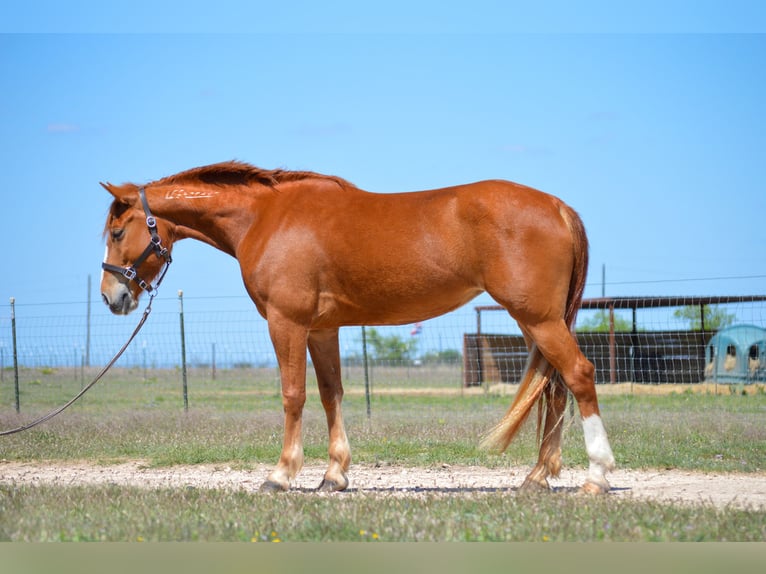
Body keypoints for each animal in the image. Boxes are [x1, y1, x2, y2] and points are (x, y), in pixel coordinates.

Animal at [100, 161, 615, 494]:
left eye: (118, 232)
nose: (112, 297)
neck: (266, 218)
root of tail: (557, 206)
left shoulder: (287, 322)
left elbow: (293, 395)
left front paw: (281, 475)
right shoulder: (322, 330)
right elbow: (332, 395)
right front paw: (334, 476)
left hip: (538, 318)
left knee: (579, 376)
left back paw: (596, 476)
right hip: (536, 321)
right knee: (554, 389)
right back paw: (537, 478)